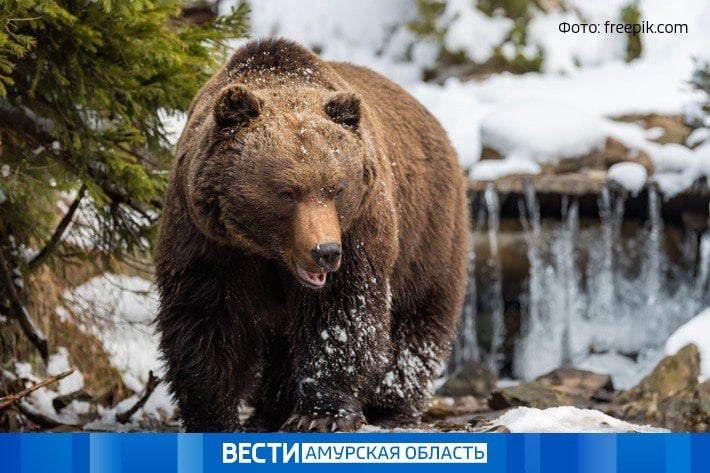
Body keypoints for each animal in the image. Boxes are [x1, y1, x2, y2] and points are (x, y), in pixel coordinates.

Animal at [153, 37, 470, 432]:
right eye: (286, 192)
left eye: (336, 188)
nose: (325, 251)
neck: (267, 252)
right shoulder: (207, 238)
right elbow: (206, 317)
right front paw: (213, 416)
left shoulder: (359, 228)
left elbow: (341, 315)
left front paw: (320, 414)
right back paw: (270, 409)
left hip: (428, 233)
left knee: (417, 320)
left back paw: (391, 406)